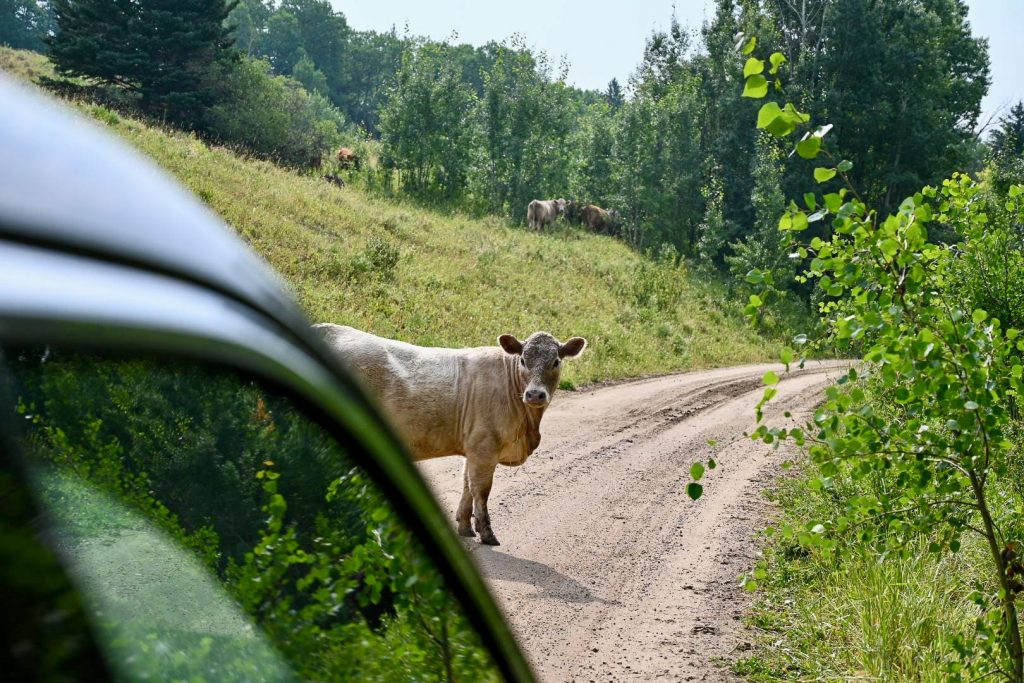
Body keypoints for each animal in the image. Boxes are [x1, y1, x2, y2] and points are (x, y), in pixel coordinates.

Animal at [314, 324, 587, 546]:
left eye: (556, 362)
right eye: (522, 360)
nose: (535, 394)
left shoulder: (474, 448)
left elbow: (467, 486)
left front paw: (465, 527)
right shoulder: (484, 447)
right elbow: (481, 490)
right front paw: (487, 534)